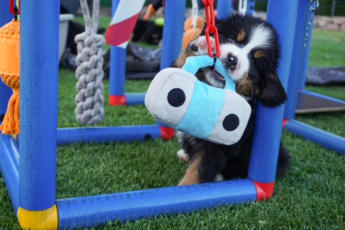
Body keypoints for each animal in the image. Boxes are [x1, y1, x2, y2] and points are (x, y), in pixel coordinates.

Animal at [173, 13, 288, 185]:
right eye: (232, 38)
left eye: (255, 61)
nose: (232, 60)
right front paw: (202, 44)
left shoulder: (218, 146)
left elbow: (196, 174)